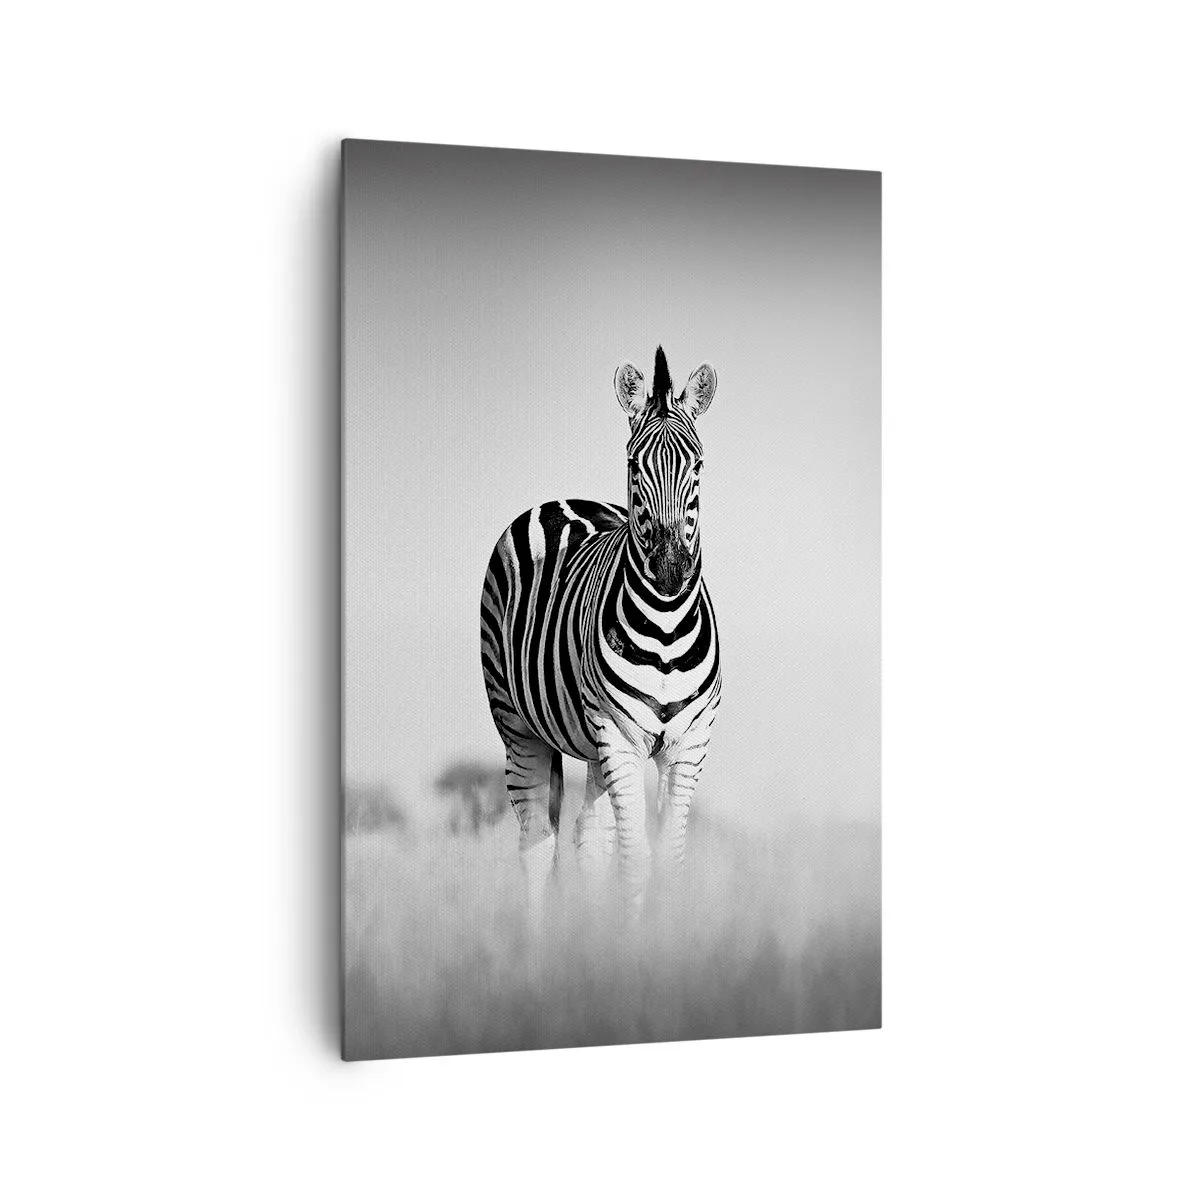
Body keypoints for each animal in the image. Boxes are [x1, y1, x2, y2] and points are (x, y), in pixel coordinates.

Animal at [479, 346, 720, 920]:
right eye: (634, 465)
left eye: (698, 465)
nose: (672, 571)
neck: (665, 630)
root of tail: (561, 500)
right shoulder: (620, 735)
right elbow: (634, 857)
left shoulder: (690, 742)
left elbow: (667, 858)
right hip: (516, 724)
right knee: (536, 844)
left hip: (591, 747)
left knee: (589, 841)